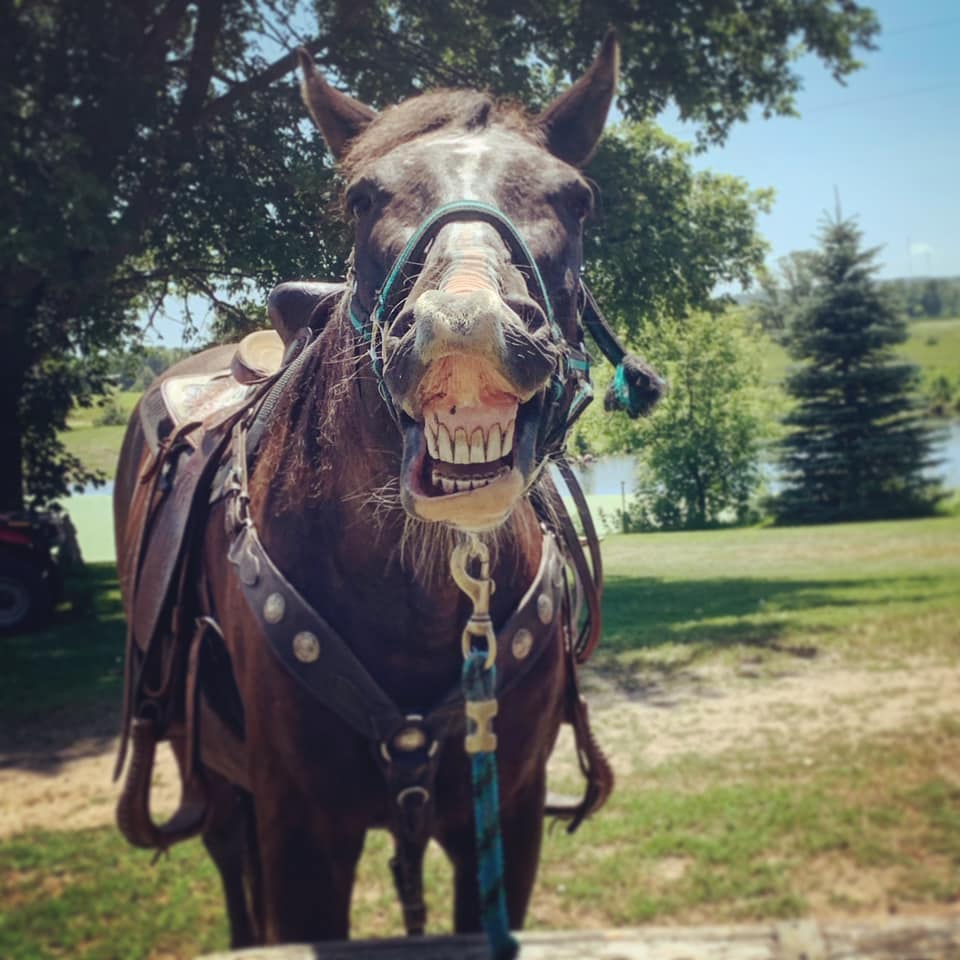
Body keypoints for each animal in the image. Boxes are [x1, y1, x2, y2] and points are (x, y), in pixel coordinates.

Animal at [112, 30, 660, 950]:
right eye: (362, 199)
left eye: (577, 200)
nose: (464, 327)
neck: (422, 607)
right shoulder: (300, 831)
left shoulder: (506, 815)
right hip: (219, 784)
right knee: (231, 864)